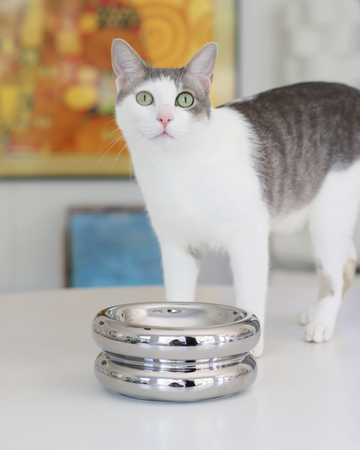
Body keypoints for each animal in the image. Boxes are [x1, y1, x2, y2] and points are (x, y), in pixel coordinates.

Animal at [110, 38, 360, 356]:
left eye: (185, 100)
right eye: (144, 98)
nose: (164, 117)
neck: (177, 167)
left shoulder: (249, 239)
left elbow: (250, 295)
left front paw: (253, 347)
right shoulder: (176, 244)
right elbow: (177, 298)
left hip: (328, 215)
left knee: (333, 272)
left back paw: (321, 323)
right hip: (302, 213)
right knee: (347, 262)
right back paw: (315, 313)